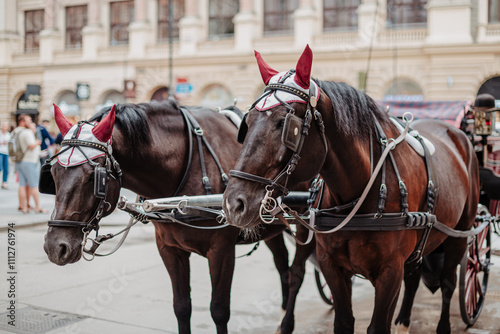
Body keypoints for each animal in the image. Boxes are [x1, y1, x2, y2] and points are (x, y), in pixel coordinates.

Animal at [45, 100, 314, 334]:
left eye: (94, 177)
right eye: (53, 172)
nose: (55, 247)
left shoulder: (221, 251)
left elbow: (219, 310)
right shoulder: (169, 248)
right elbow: (182, 307)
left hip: (307, 224)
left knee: (297, 274)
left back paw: (287, 321)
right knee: (282, 263)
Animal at [224, 45, 480, 332]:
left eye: (284, 124)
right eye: (248, 122)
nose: (234, 204)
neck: (358, 195)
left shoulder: (390, 272)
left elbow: (378, 325)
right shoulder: (332, 267)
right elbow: (344, 321)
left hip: (460, 233)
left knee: (448, 283)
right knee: (414, 279)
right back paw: (403, 321)